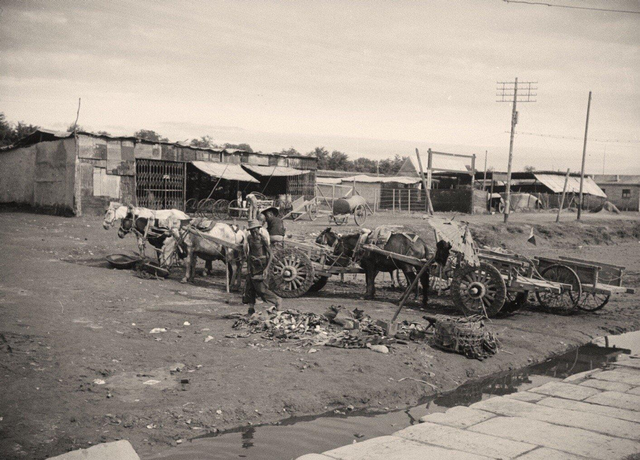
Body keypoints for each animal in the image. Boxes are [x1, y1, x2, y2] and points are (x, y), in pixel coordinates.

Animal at [318, 226, 452, 306]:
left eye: (337, 245)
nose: (334, 253)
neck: (361, 243)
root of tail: (423, 244)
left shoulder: (370, 265)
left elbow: (369, 280)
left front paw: (368, 295)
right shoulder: (375, 267)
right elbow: (370, 280)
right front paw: (371, 293)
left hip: (407, 266)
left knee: (413, 280)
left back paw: (406, 298)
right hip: (419, 265)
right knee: (422, 281)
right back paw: (423, 300)